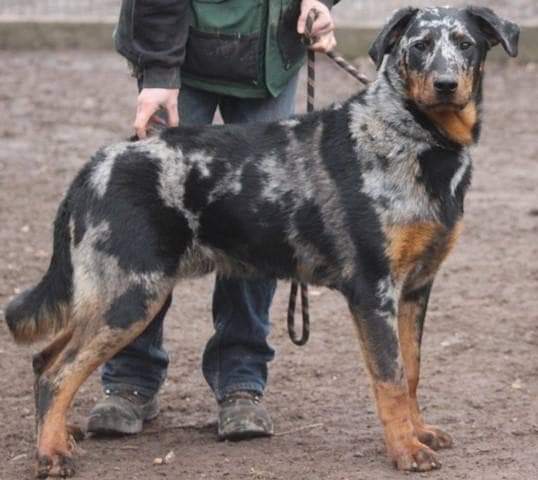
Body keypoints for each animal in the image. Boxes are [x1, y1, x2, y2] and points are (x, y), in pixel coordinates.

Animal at [4, 5, 516, 478]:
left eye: (465, 44)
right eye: (419, 46)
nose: (446, 84)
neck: (413, 137)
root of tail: (95, 164)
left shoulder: (415, 289)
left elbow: (411, 372)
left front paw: (419, 431)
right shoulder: (374, 292)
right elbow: (390, 379)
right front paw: (406, 450)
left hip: (111, 295)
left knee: (44, 360)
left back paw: (59, 438)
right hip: (130, 296)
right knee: (58, 373)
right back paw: (51, 454)